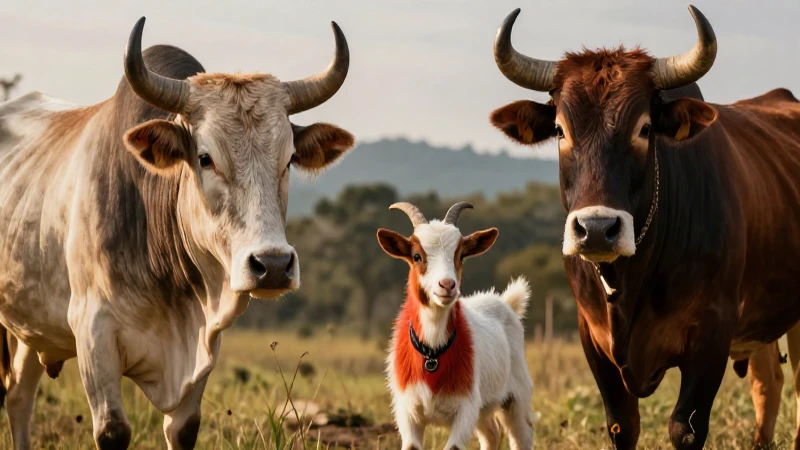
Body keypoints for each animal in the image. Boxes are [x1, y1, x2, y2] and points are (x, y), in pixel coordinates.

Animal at [377, 201, 534, 450]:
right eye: (417, 256)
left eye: (460, 256)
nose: (447, 285)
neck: (432, 353)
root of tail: (506, 302)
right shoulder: (407, 408)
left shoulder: (466, 407)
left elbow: (454, 447)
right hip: (483, 407)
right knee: (492, 433)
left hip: (516, 393)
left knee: (521, 435)